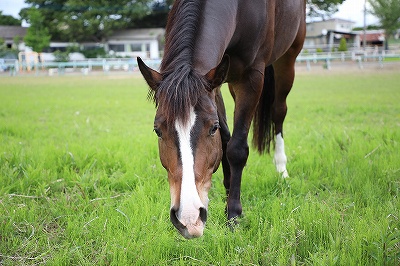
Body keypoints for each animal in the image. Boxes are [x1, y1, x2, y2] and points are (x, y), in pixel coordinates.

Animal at [138, 0, 306, 238]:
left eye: (212, 128)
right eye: (157, 130)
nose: (189, 218)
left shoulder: (252, 77)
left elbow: (237, 148)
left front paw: (233, 214)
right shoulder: (215, 82)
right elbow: (225, 140)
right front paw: (228, 191)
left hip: (287, 59)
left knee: (279, 112)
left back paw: (282, 169)